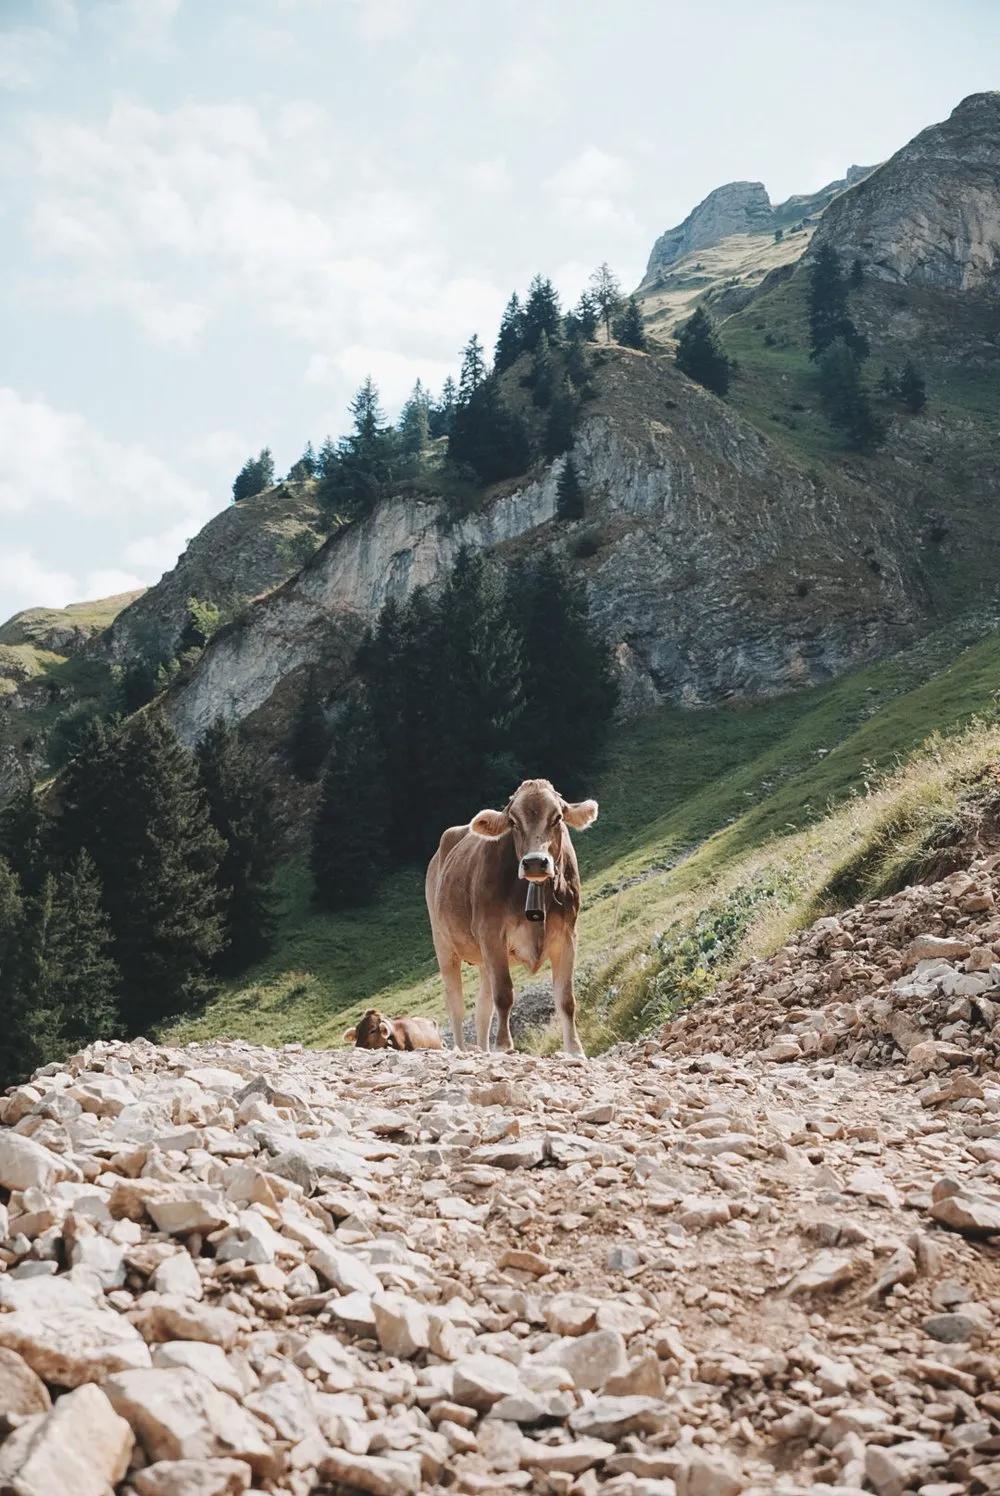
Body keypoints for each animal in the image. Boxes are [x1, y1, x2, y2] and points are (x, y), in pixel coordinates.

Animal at [425, 778, 598, 1055]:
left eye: (558, 817)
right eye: (513, 821)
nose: (535, 862)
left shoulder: (568, 935)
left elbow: (566, 999)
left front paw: (575, 1050)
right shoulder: (492, 934)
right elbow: (504, 994)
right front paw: (504, 1046)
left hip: (482, 959)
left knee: (482, 1007)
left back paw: (483, 1048)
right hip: (444, 944)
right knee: (456, 1003)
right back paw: (462, 1049)